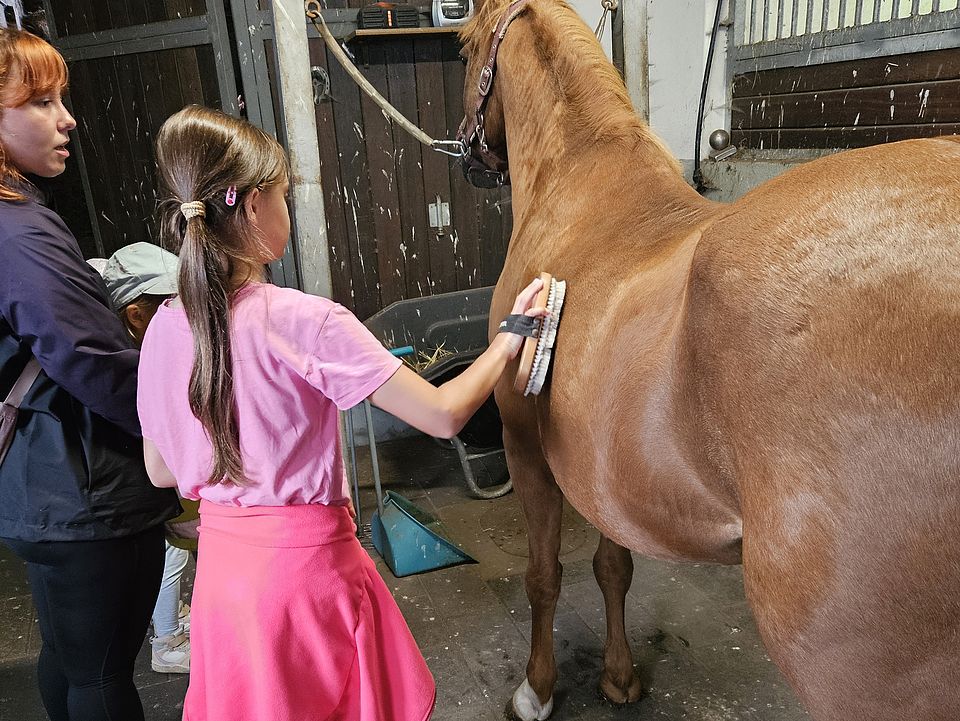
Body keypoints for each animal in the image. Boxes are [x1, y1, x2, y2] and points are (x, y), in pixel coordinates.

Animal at [455, 1, 960, 719]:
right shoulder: (605, 474)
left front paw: (536, 689)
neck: (578, 189)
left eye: (463, 47)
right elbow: (613, 567)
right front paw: (619, 676)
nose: (469, 153)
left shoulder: (526, 447)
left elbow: (543, 575)